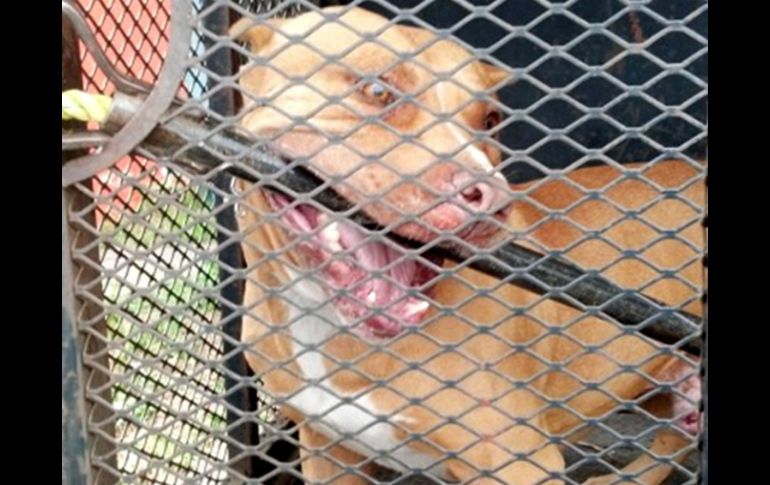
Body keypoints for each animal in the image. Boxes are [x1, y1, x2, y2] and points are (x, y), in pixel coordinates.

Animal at [229, 7, 703, 484]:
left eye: (490, 121)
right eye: (377, 90)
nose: (492, 198)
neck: (327, 320)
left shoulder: (518, 462)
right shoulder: (328, 449)